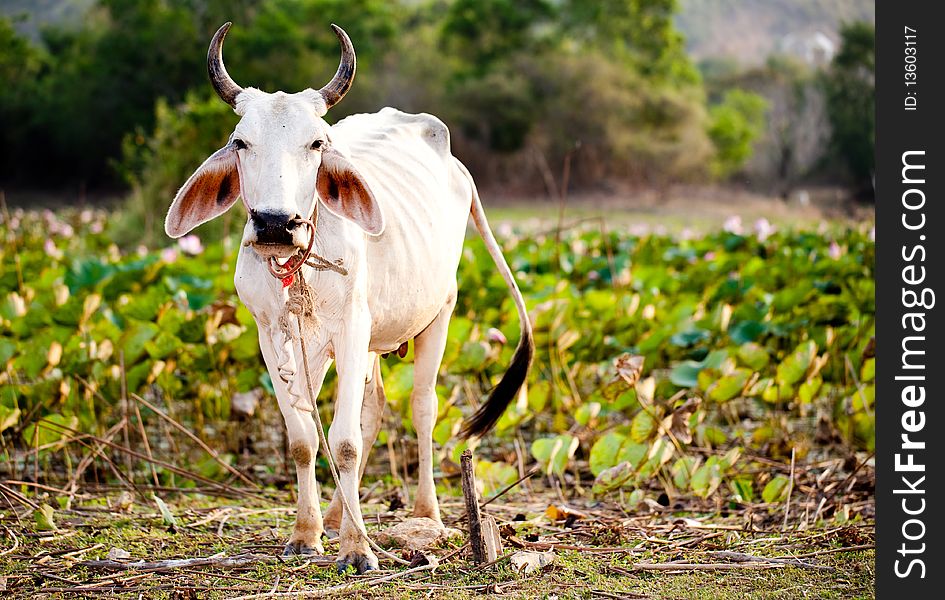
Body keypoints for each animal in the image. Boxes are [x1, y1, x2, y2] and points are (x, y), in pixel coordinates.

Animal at [163, 23, 532, 576]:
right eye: (240, 141)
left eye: (317, 142)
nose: (275, 223)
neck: (296, 269)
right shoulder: (272, 335)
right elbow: (303, 439)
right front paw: (307, 534)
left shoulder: (353, 327)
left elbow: (346, 441)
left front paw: (357, 549)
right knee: (371, 409)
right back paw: (339, 514)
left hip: (438, 314)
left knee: (422, 407)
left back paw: (425, 513)